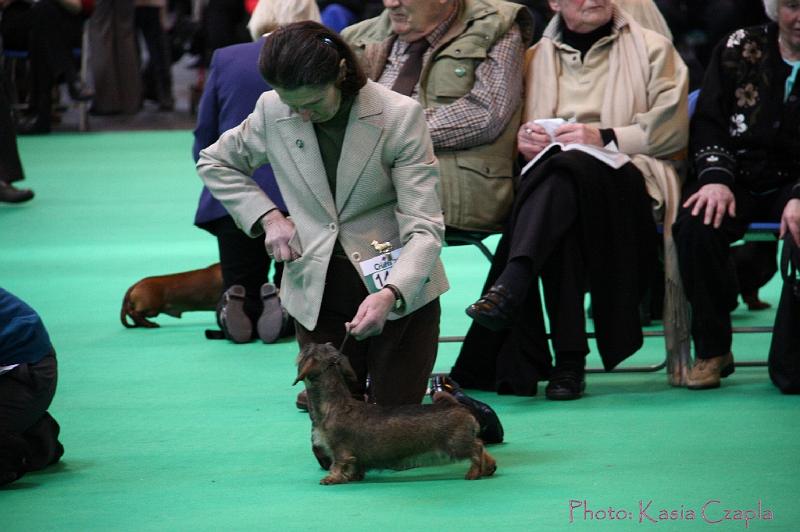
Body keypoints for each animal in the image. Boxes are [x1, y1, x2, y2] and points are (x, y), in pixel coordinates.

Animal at [294, 342, 494, 484]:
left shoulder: (339, 449)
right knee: (481, 446)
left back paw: (474, 472)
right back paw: (489, 467)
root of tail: (455, 406)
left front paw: (332, 478)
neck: (334, 404)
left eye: (306, 351)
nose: (307, 342)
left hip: (456, 445)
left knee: (477, 448)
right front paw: (354, 476)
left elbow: (338, 464)